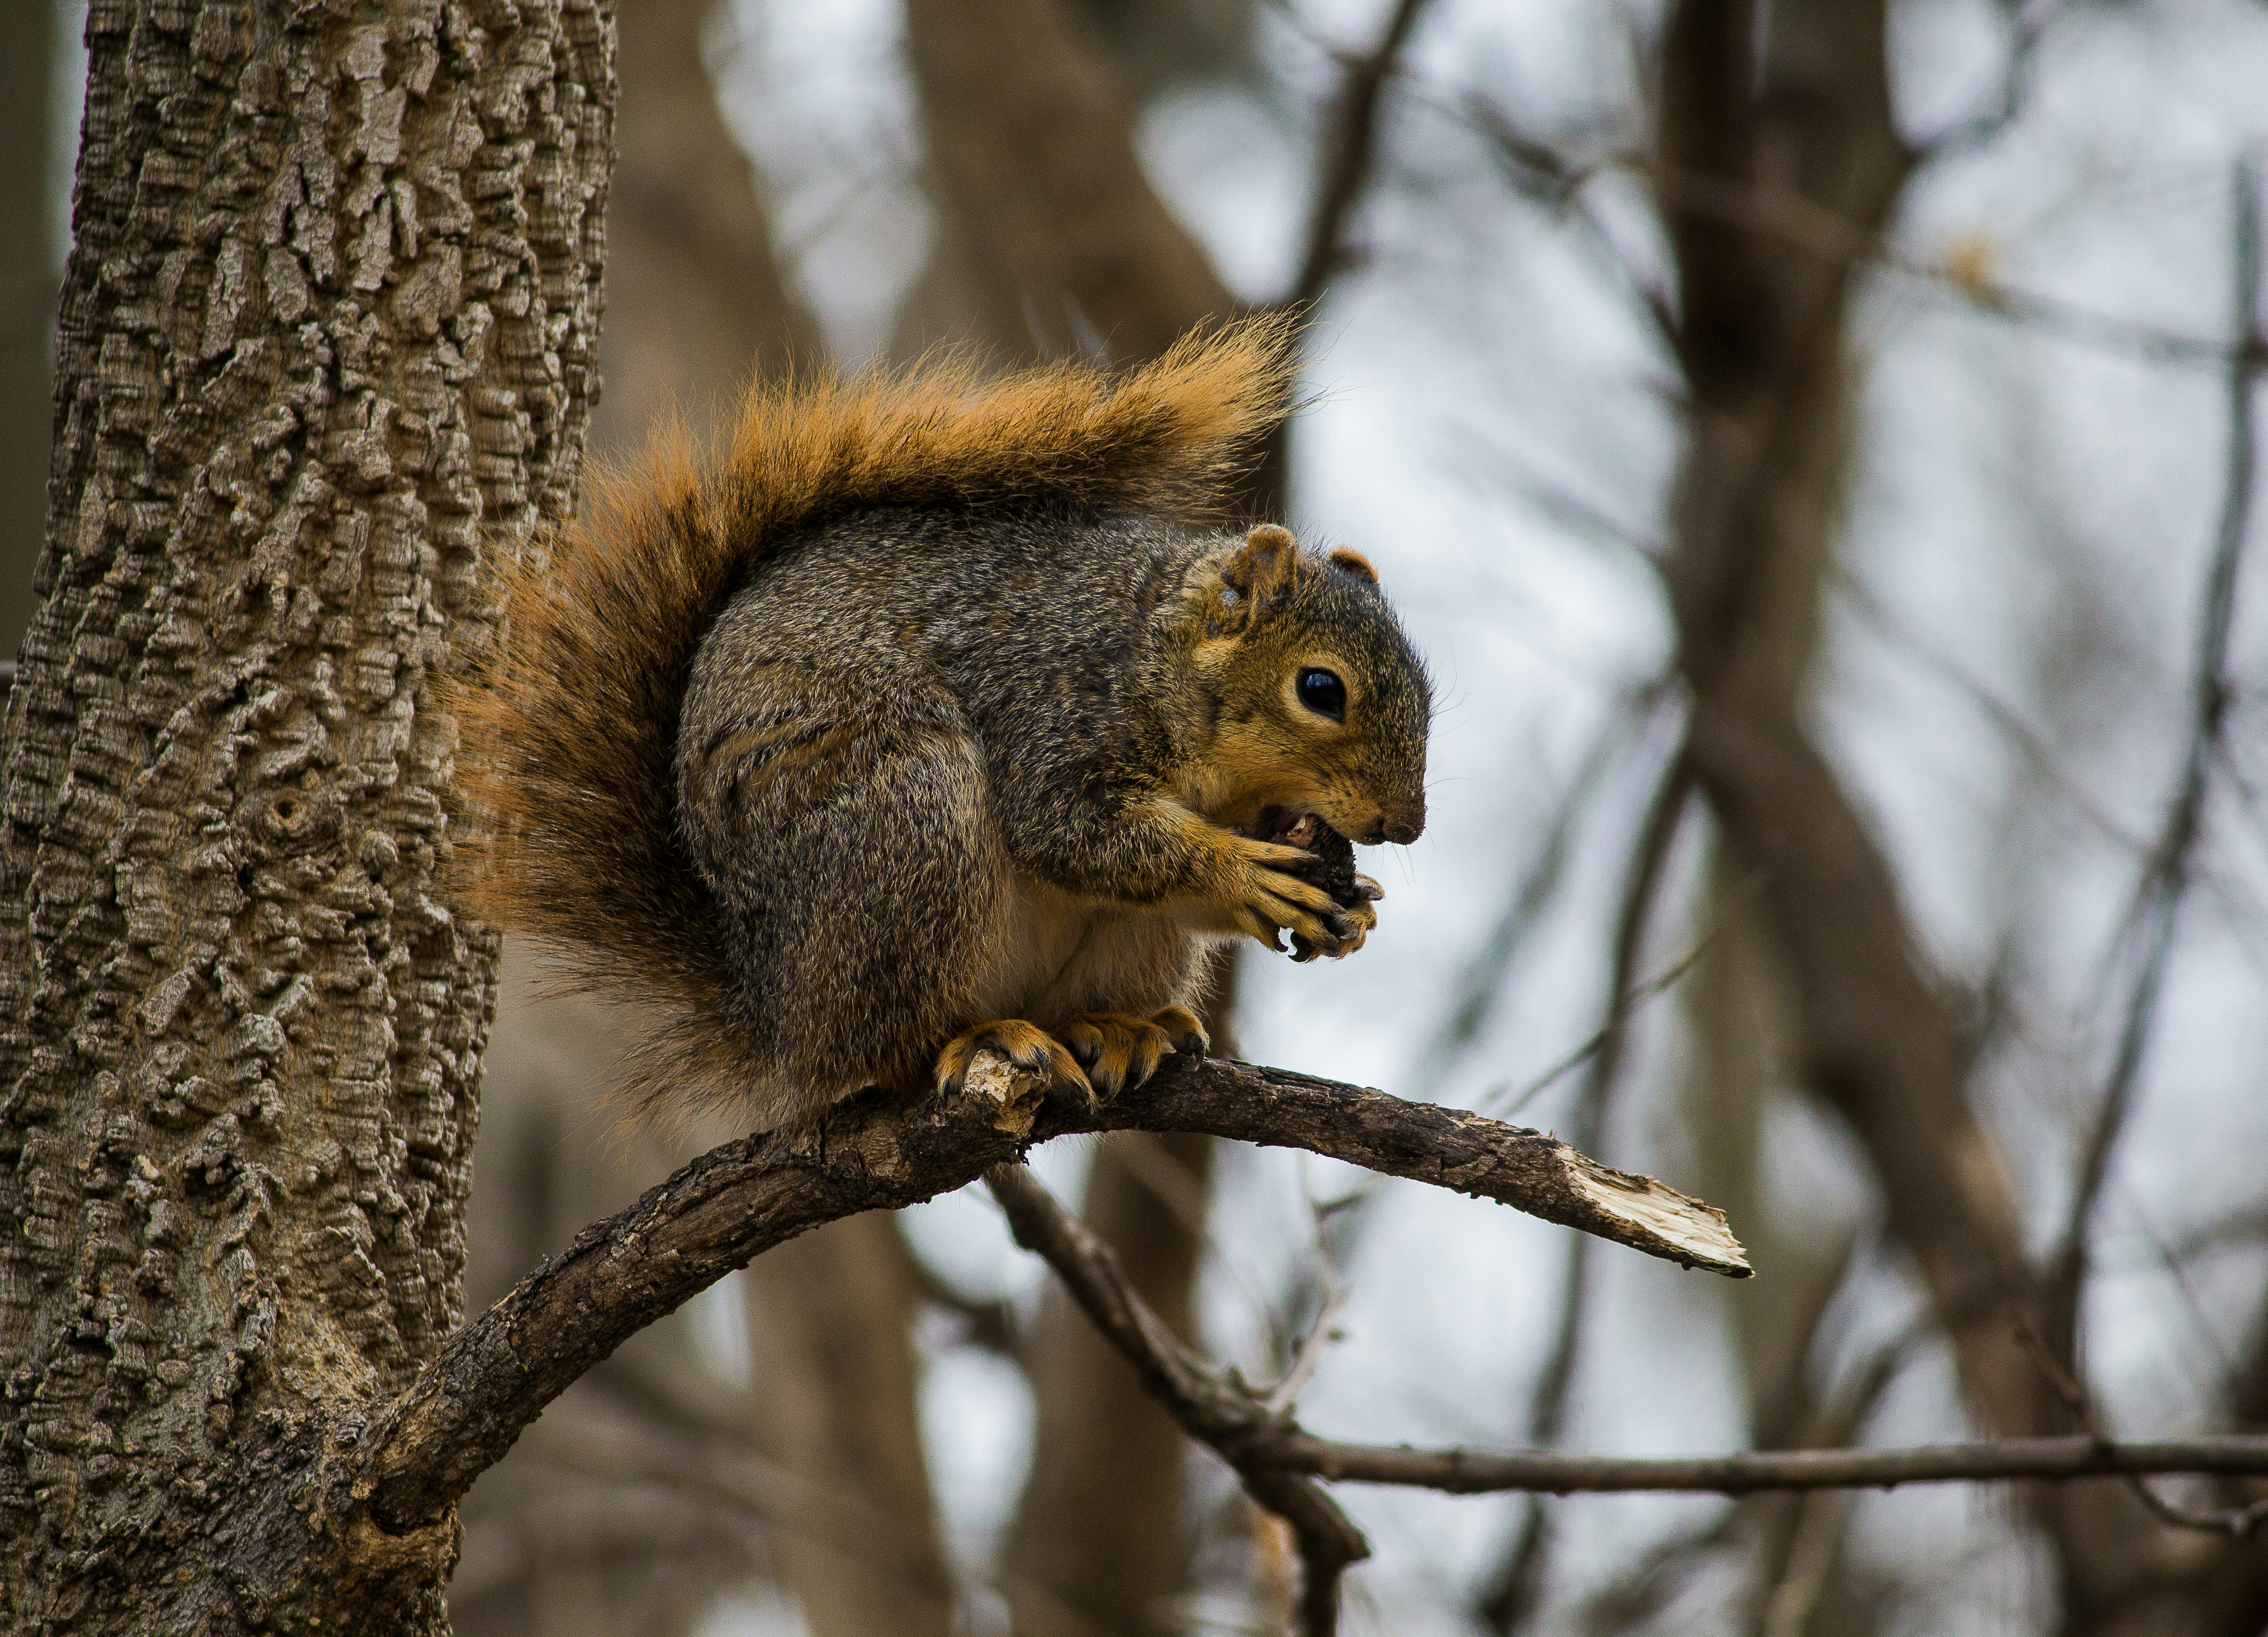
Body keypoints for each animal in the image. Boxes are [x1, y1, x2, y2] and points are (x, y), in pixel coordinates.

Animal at [449, 322, 1424, 1133]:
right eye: (1319, 688)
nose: (1404, 826)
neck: (1161, 656)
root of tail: (775, 1013)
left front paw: (1351, 907)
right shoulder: (1055, 707)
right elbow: (1072, 831)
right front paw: (1244, 874)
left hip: (1120, 940)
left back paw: (1117, 1027)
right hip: (911, 833)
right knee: (888, 1053)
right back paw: (975, 1039)